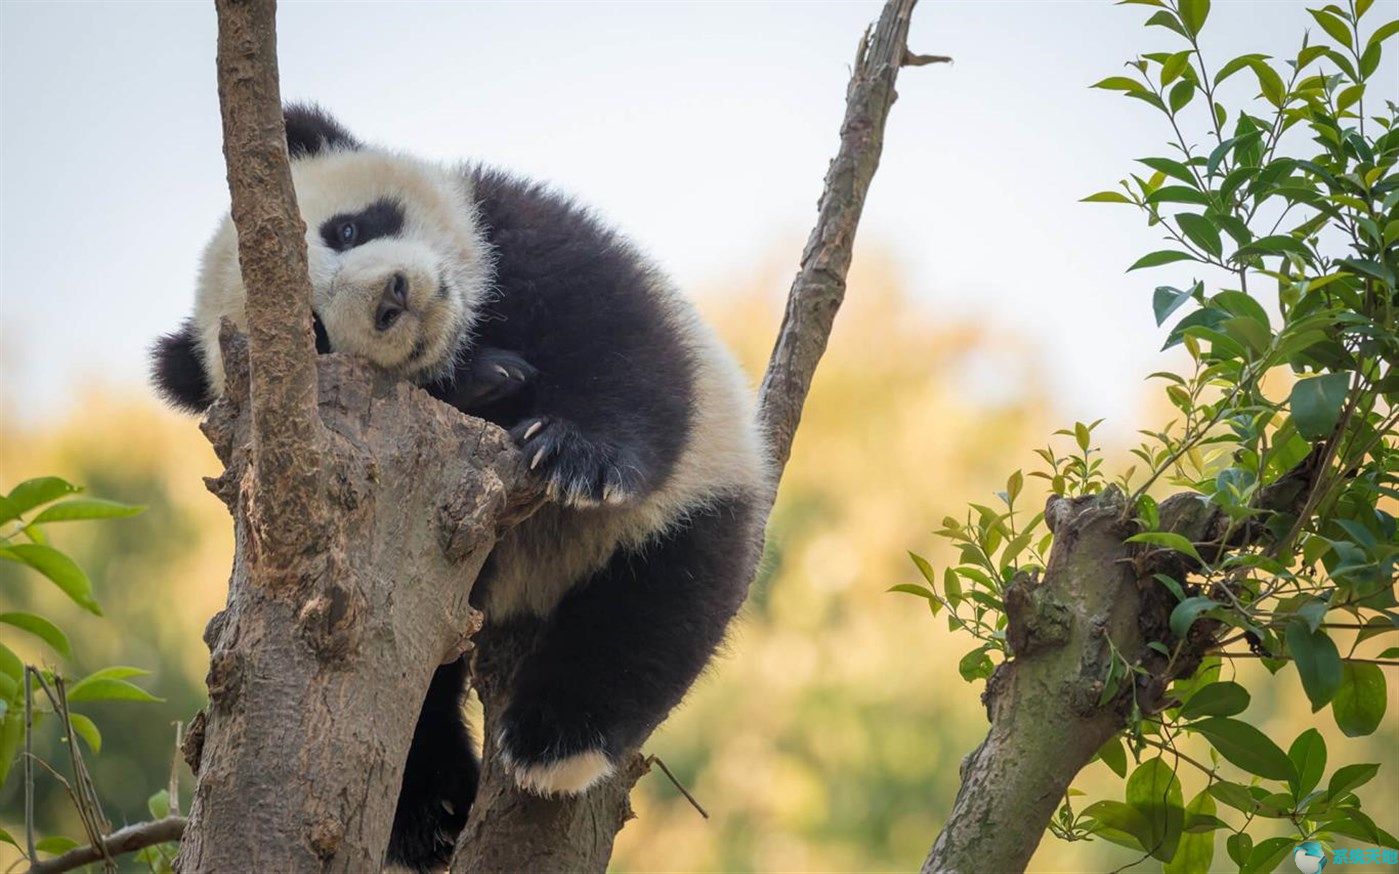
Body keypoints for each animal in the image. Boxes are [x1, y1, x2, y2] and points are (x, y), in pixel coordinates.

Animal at [154, 105, 772, 867]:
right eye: (314, 333)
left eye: (346, 230)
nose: (392, 297)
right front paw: (488, 378)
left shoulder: (517, 229)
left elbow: (620, 339)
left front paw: (577, 455)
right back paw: (442, 809)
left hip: (697, 492)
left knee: (662, 595)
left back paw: (551, 740)